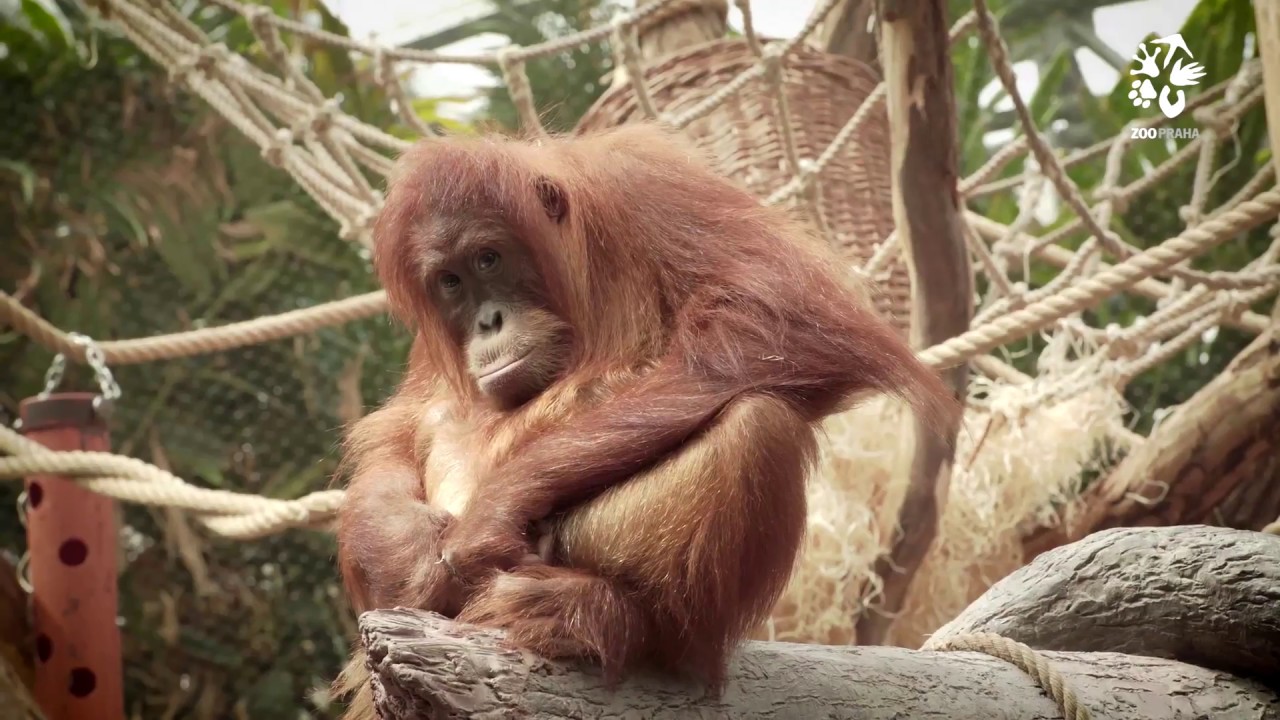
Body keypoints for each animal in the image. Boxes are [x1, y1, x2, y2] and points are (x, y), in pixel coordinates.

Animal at [332, 123, 960, 718]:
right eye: (451, 283)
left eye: (489, 258)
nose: (488, 322)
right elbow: (401, 430)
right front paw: (412, 559)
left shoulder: (646, 183)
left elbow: (779, 321)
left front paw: (490, 514)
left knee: (758, 420)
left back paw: (607, 618)